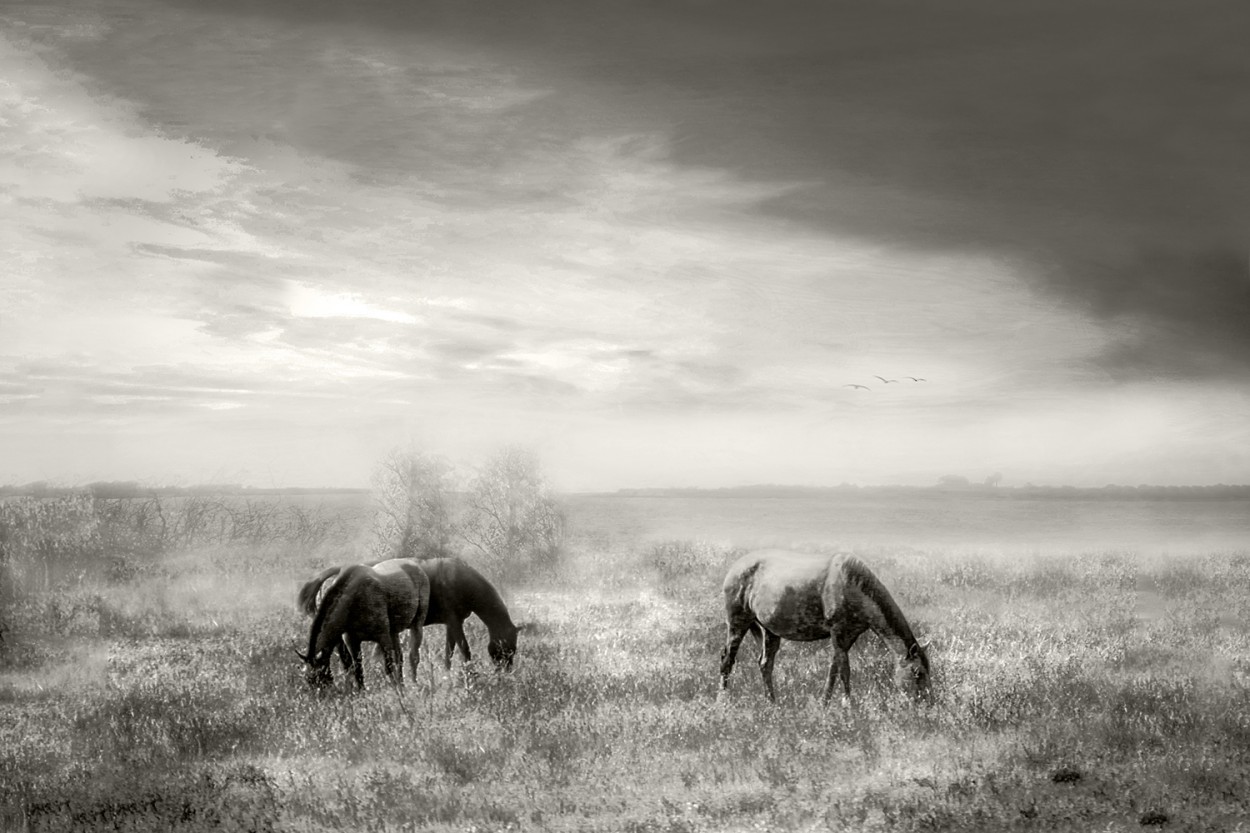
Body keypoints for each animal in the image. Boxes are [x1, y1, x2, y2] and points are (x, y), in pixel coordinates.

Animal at [296, 555, 517, 670]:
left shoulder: (452, 623)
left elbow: (449, 652)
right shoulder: (454, 622)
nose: (504, 672)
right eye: (506, 649)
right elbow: (464, 650)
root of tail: (336, 574)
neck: (457, 580)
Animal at [296, 557, 430, 685]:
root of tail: (416, 565)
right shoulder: (352, 641)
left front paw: (396, 692)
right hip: (394, 632)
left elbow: (388, 668)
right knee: (399, 658)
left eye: (321, 677)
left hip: (416, 625)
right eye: (309, 680)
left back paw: (414, 685)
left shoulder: (383, 638)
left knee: (413, 657)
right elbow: (358, 671)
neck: (356, 599)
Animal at [725, 547, 930, 705]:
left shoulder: (849, 636)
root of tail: (733, 568)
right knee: (727, 660)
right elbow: (845, 671)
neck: (852, 587)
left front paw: (825, 703)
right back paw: (723, 701)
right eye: (917, 673)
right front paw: (849, 705)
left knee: (765, 664)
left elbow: (833, 670)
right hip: (738, 623)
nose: (928, 704)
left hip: (770, 631)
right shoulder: (837, 632)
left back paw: (772, 703)